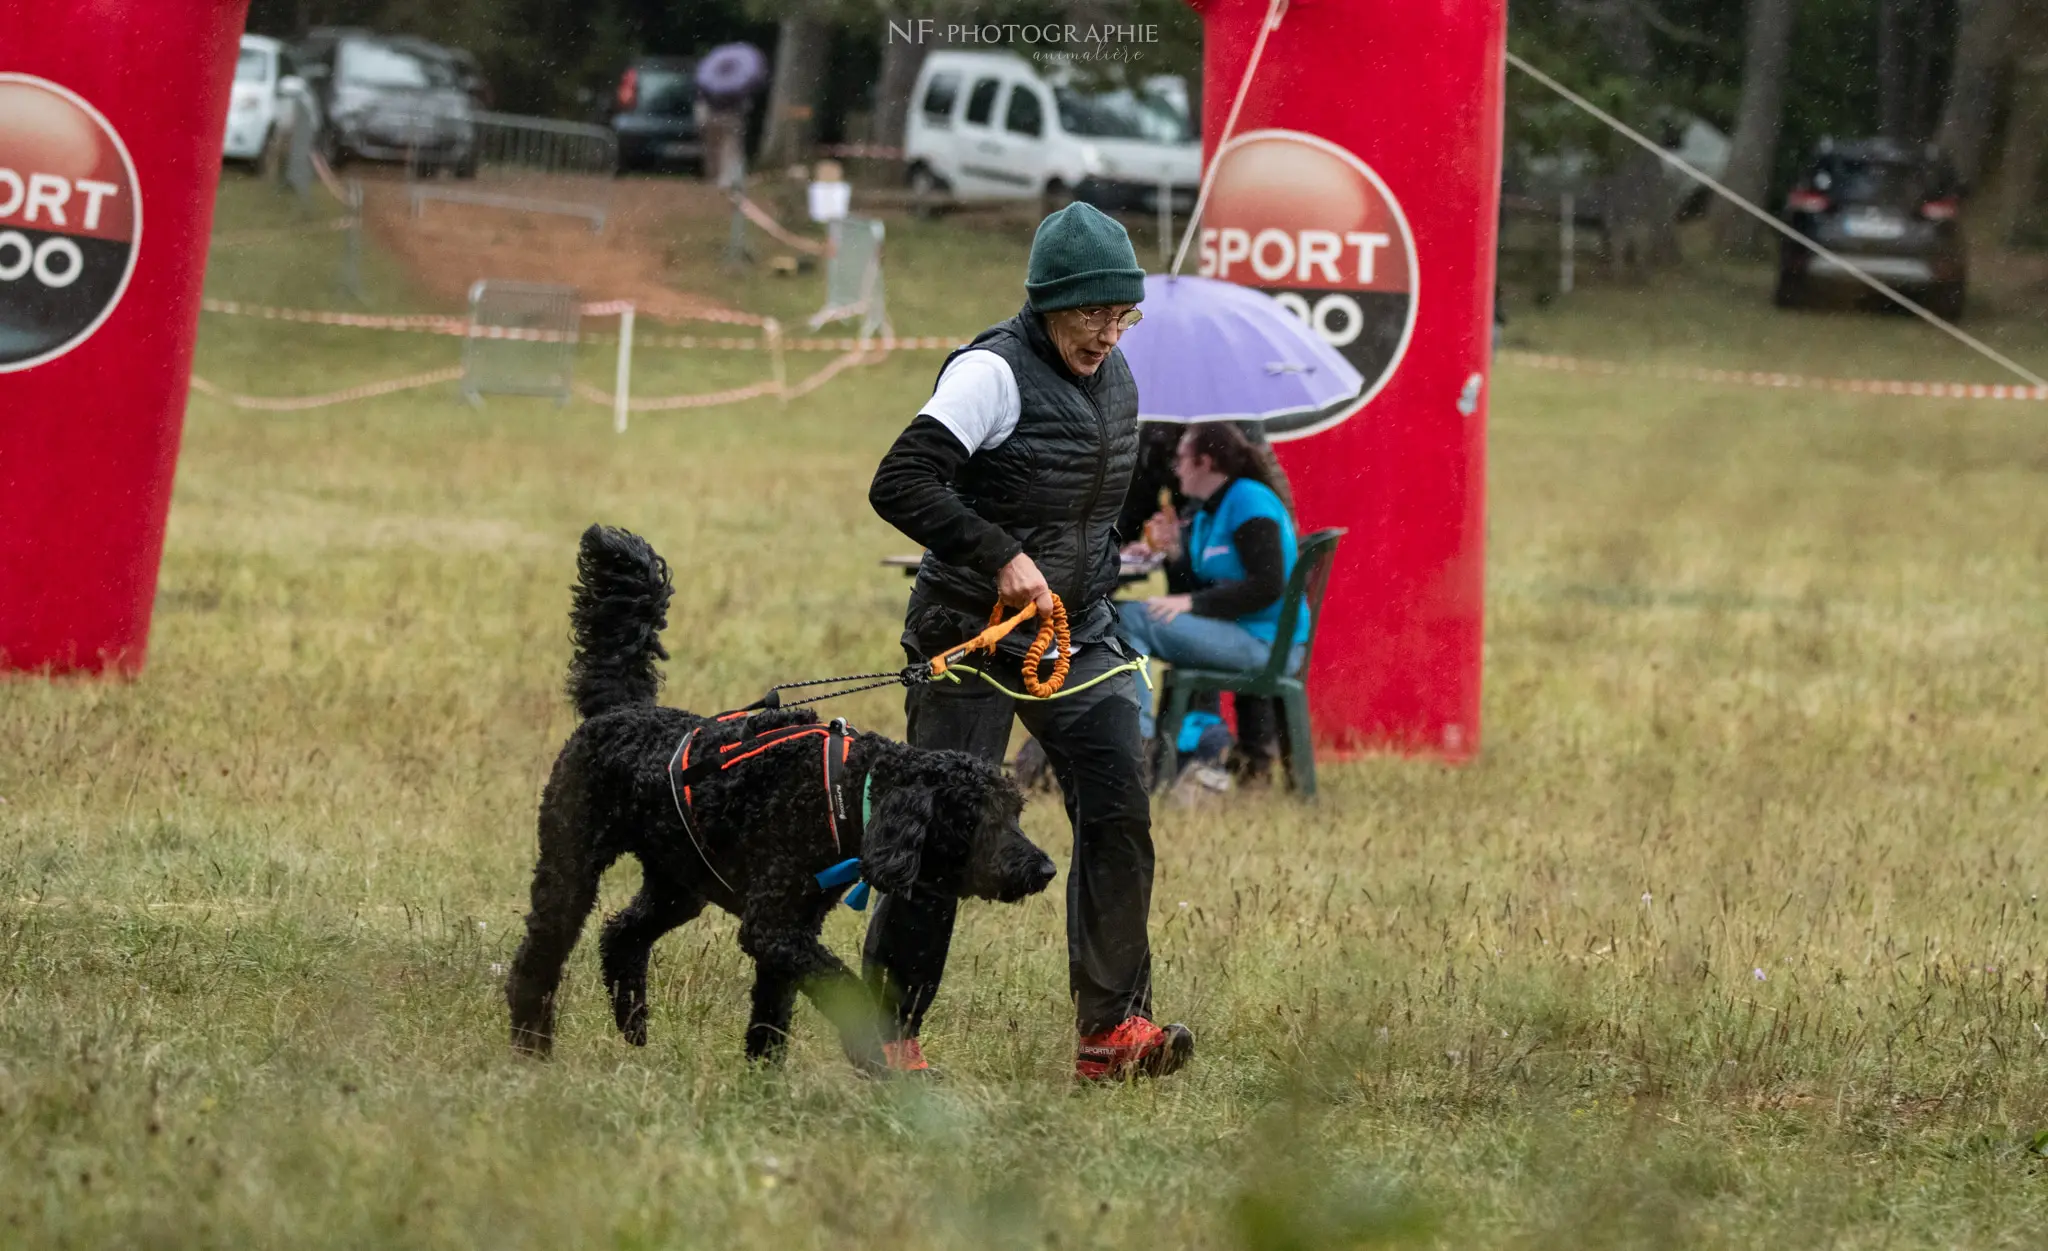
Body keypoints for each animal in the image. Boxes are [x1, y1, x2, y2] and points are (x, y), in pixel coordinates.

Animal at [507, 524, 1056, 1072]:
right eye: (979, 819)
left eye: (1015, 813)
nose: (1046, 869)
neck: (851, 788)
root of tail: (621, 710)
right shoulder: (775, 927)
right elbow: (843, 989)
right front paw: (870, 1053)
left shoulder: (789, 930)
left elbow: (771, 1017)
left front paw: (760, 1083)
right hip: (572, 862)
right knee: (539, 954)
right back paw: (530, 1045)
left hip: (677, 882)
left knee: (622, 933)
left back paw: (632, 1020)